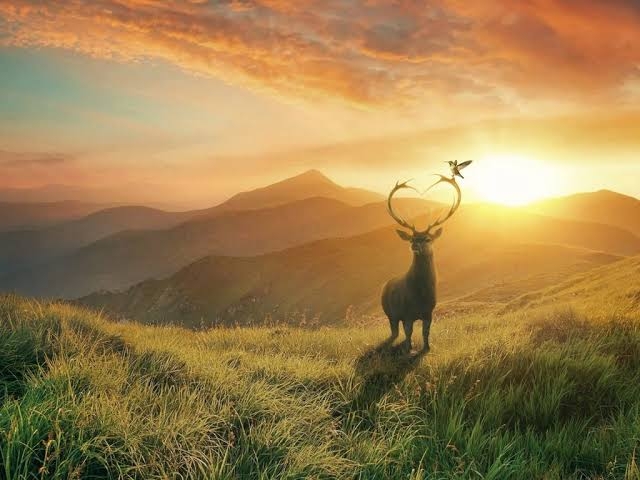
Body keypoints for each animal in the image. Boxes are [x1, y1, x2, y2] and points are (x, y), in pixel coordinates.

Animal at [381, 175, 461, 353]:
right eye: (412, 239)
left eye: (428, 239)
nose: (414, 246)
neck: (420, 296)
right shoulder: (407, 313)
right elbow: (409, 333)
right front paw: (408, 349)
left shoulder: (429, 312)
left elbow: (426, 332)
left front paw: (427, 347)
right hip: (390, 313)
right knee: (394, 332)